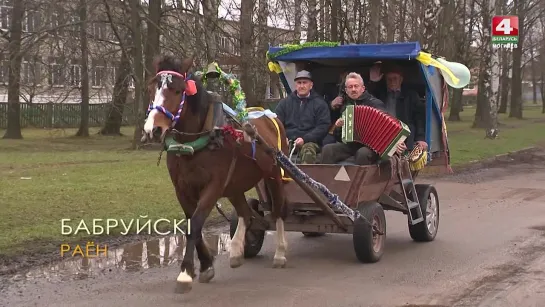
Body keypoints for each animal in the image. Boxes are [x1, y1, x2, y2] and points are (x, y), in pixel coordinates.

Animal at [142, 54, 292, 294]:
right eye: (151, 88)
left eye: (177, 90)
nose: (152, 129)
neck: (193, 144)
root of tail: (270, 115)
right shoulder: (182, 189)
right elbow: (190, 224)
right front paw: (205, 266)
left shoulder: (213, 186)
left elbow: (196, 223)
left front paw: (185, 273)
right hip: (235, 184)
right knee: (245, 213)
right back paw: (237, 250)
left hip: (273, 175)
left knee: (278, 210)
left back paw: (279, 253)